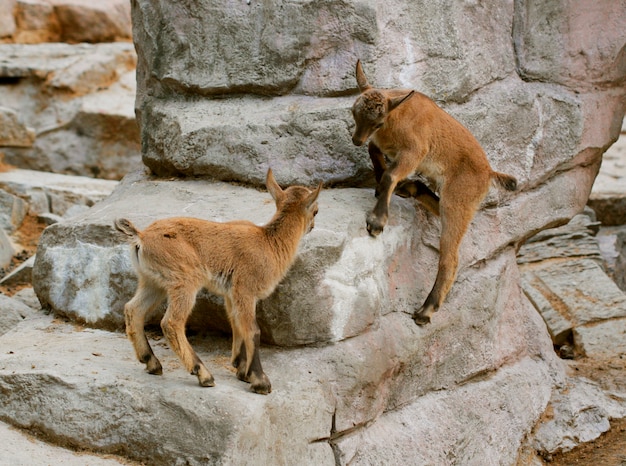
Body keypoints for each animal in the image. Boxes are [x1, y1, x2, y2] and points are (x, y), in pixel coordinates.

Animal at [114, 169, 322, 396]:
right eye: (316, 211)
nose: (313, 226)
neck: (269, 243)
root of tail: (140, 237)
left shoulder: (231, 295)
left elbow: (237, 325)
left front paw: (242, 370)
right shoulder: (245, 290)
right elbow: (253, 330)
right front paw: (260, 381)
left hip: (153, 282)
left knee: (133, 310)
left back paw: (152, 363)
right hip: (185, 281)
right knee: (171, 322)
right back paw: (203, 374)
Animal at [348, 60, 516, 326]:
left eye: (378, 122)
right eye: (354, 112)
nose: (356, 139)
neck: (397, 118)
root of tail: (489, 173)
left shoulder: (414, 152)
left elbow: (390, 175)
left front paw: (376, 221)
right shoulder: (380, 145)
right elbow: (376, 157)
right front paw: (381, 188)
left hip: (458, 200)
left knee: (450, 258)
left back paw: (425, 311)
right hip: (455, 203)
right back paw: (409, 188)